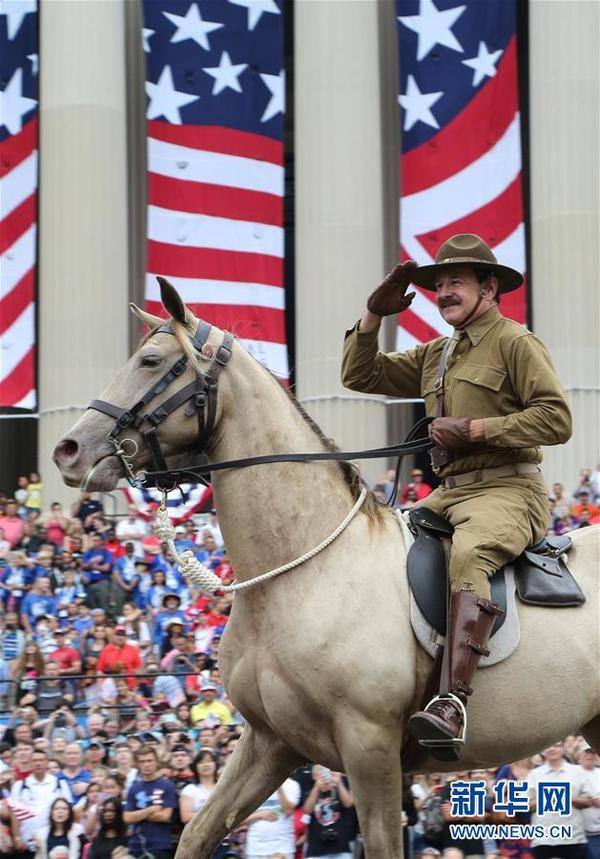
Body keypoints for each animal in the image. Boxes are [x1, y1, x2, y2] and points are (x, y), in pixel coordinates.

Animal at [54, 280, 596, 859]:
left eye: (151, 361)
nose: (68, 450)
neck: (299, 574)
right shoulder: (270, 743)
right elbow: (197, 833)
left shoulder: (369, 746)